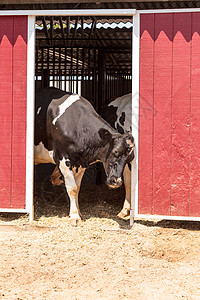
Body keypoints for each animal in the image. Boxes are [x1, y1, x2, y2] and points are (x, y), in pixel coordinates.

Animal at [34, 88, 134, 224]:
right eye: (115, 152)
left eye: (129, 158)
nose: (116, 181)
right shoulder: (62, 158)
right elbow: (72, 188)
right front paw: (74, 216)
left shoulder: (81, 162)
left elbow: (77, 188)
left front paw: (78, 213)